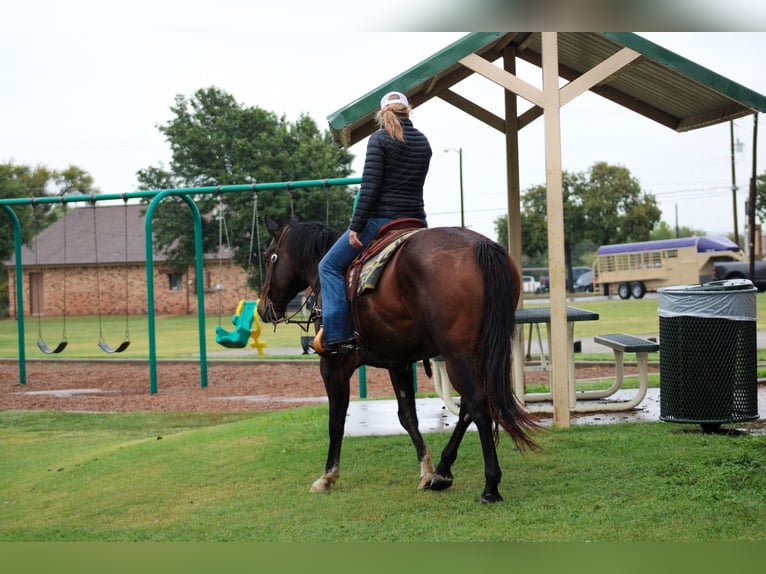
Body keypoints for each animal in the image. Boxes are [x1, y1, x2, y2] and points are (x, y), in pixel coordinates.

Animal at [258, 216, 540, 504]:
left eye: (269, 257)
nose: (262, 307)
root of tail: (480, 246)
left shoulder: (334, 365)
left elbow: (336, 421)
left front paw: (327, 477)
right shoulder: (398, 363)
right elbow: (408, 417)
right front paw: (426, 470)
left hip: (457, 355)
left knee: (478, 406)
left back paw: (490, 486)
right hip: (477, 353)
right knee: (468, 408)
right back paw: (442, 472)